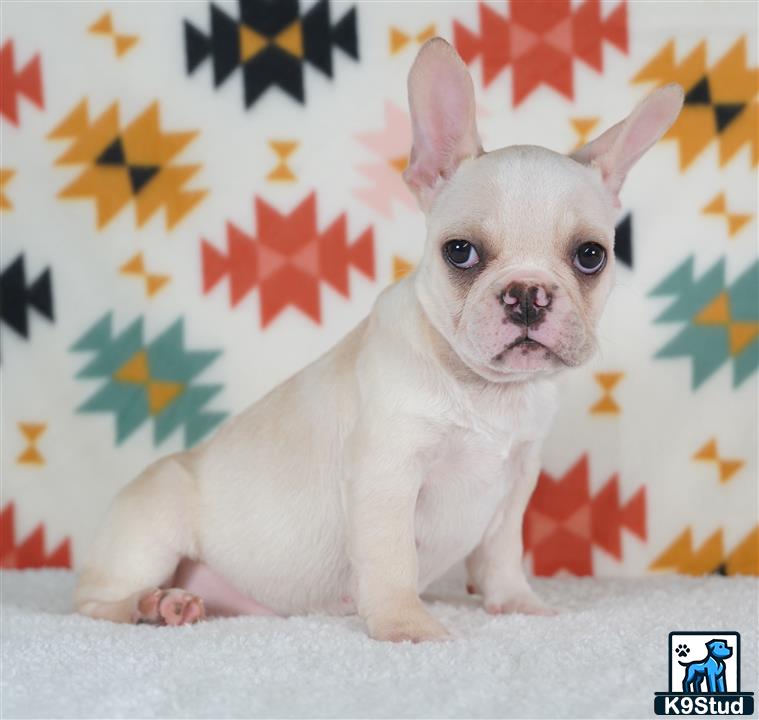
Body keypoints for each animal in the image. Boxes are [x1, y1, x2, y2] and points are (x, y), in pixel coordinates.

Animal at [74, 38, 684, 640]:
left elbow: (502, 555)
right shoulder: (386, 474)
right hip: (152, 525)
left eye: (591, 256)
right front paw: (405, 623)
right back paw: (156, 605)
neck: (484, 388)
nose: (527, 294)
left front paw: (518, 603)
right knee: (96, 604)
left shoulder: (513, 485)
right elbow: (392, 560)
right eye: (460, 252)